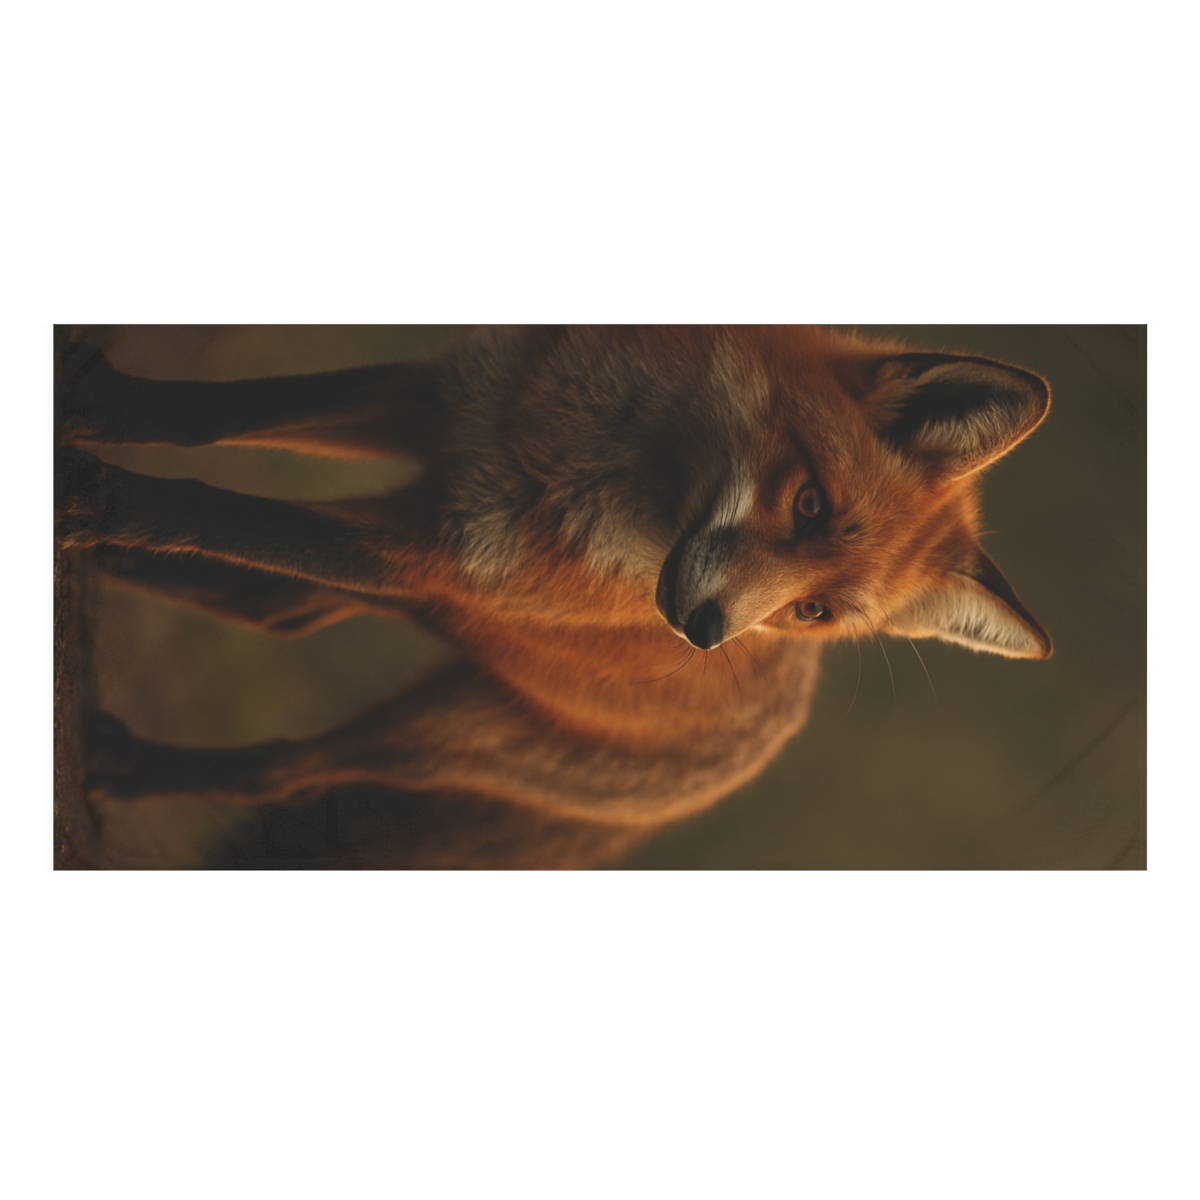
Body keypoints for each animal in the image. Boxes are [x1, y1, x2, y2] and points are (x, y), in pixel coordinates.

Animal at [55, 326, 1052, 867]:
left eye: (815, 612)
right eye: (810, 504)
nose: (705, 631)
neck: (595, 442)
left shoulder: (419, 552)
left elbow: (215, 509)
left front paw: (97, 499)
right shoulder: (441, 406)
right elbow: (204, 420)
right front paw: (94, 405)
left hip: (446, 731)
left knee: (286, 763)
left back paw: (122, 763)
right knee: (277, 610)